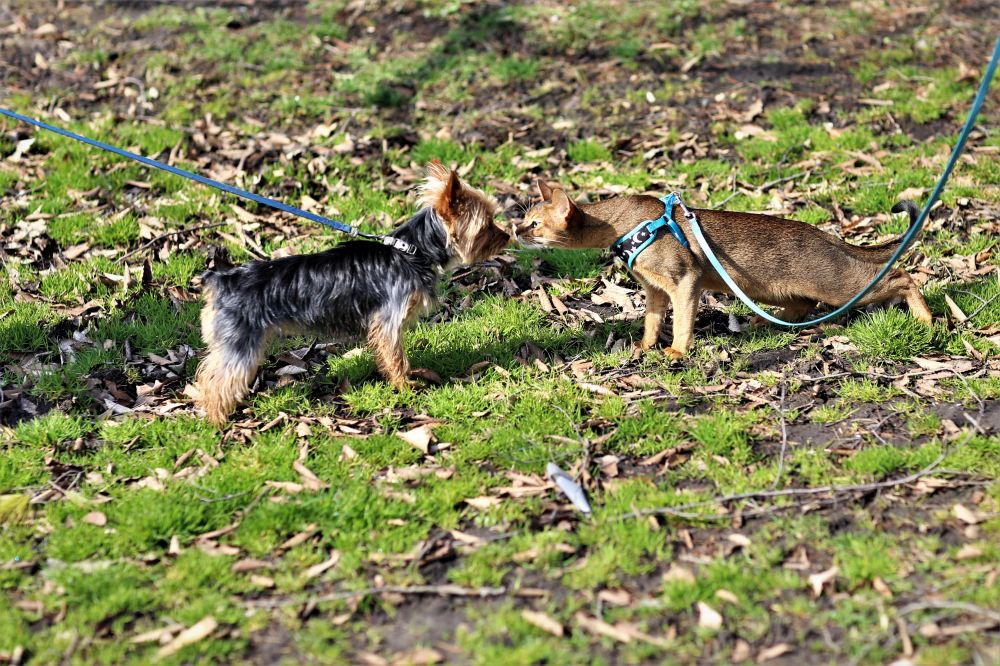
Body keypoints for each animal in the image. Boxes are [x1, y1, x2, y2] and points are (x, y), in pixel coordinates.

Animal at [194, 160, 510, 425]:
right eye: (487, 226)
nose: (508, 235)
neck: (413, 251)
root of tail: (221, 278)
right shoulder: (388, 321)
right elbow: (395, 357)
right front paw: (406, 386)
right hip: (240, 342)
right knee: (214, 380)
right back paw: (216, 419)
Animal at [515, 181, 932, 358]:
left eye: (535, 224)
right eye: (524, 219)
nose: (515, 230)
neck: (625, 223)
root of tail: (823, 234)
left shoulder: (685, 280)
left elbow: (682, 322)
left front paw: (676, 352)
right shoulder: (654, 289)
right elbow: (651, 321)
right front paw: (646, 346)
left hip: (836, 284)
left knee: (901, 276)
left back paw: (926, 320)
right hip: (777, 288)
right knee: (803, 306)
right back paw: (766, 322)